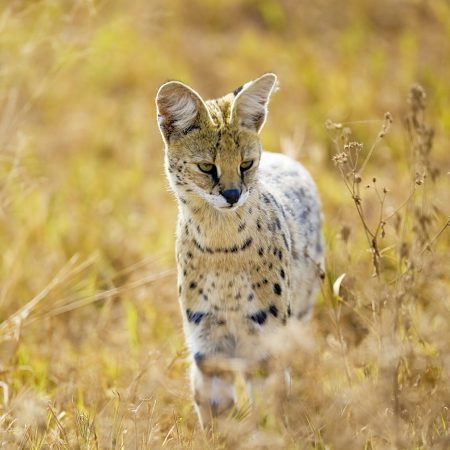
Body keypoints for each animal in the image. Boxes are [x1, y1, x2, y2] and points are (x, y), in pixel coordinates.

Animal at [155, 72, 324, 428]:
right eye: (207, 167)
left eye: (246, 164)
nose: (233, 194)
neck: (223, 248)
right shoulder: (207, 345)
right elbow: (216, 414)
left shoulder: (266, 341)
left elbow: (270, 410)